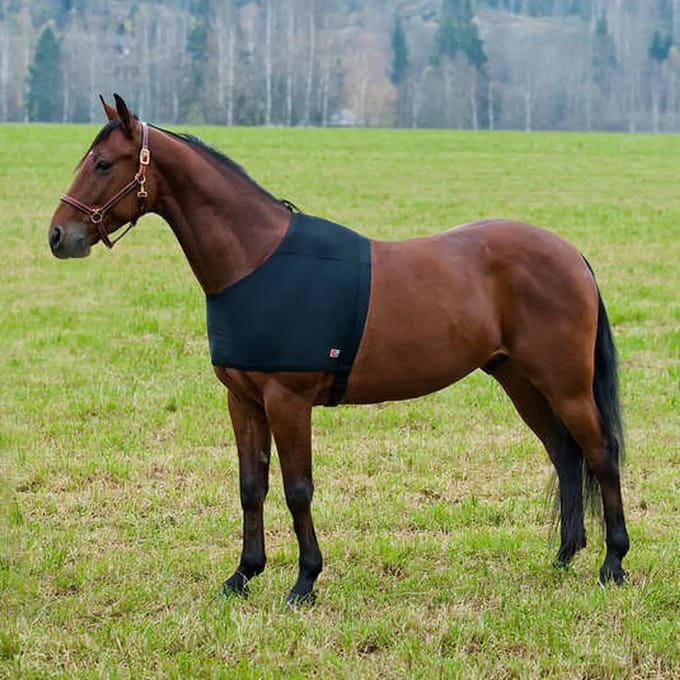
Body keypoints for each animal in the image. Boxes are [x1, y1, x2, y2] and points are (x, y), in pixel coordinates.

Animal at [48, 94, 629, 604]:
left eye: (103, 163)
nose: (58, 236)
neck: (257, 259)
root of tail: (572, 255)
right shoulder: (243, 400)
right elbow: (251, 486)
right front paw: (243, 574)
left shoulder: (288, 400)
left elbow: (296, 488)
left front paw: (304, 581)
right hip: (521, 382)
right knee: (564, 454)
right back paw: (564, 555)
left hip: (565, 385)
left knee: (600, 454)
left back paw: (613, 563)